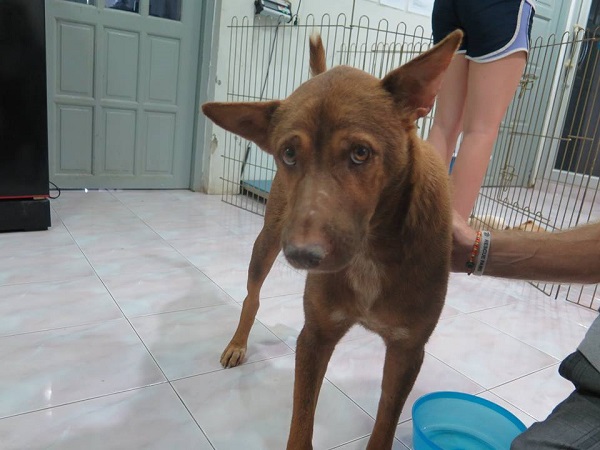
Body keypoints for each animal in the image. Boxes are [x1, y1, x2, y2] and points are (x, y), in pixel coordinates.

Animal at [202, 30, 462, 450]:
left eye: (360, 153)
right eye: (289, 154)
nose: (303, 256)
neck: (372, 249)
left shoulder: (407, 351)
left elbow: (384, 425)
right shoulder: (315, 337)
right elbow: (300, 423)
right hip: (267, 241)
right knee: (252, 297)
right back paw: (238, 343)